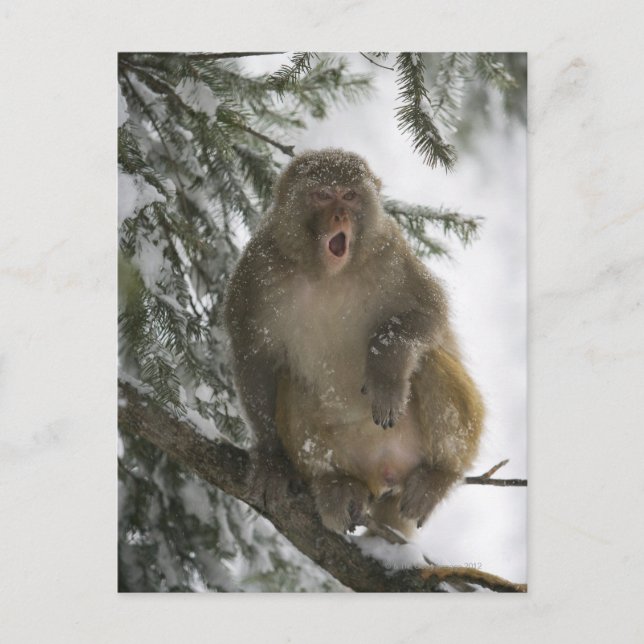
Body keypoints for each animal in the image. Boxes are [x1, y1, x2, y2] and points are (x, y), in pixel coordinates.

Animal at [224, 148, 484, 537]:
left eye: (349, 195)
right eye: (322, 195)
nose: (340, 215)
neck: (328, 274)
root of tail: (385, 470)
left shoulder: (390, 252)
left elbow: (429, 313)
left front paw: (385, 369)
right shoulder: (256, 271)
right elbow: (255, 359)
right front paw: (271, 459)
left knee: (427, 361)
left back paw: (439, 474)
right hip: (352, 458)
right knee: (292, 381)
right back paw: (335, 484)